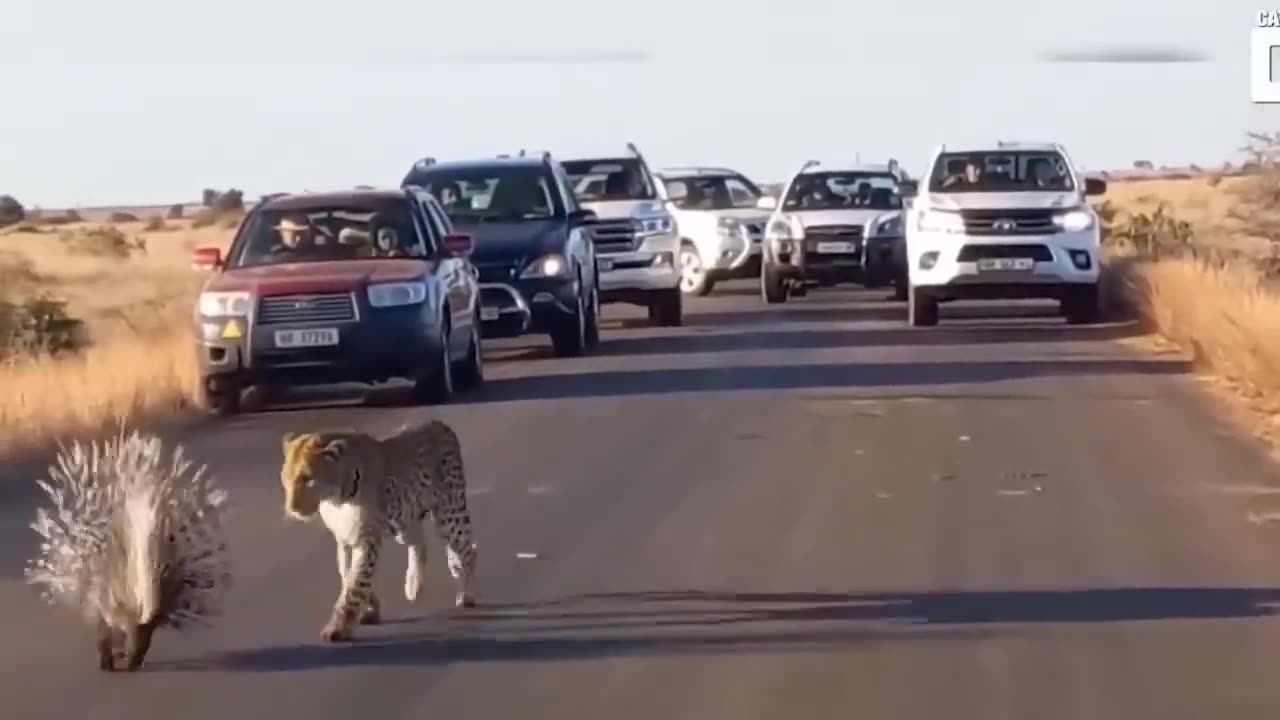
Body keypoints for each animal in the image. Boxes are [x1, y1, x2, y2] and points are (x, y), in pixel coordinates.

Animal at [281, 415, 481, 638]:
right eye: (286, 478)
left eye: (308, 479)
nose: (291, 508)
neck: (336, 498)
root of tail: (439, 423)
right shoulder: (344, 540)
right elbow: (348, 574)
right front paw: (370, 609)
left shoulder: (367, 538)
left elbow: (356, 583)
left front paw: (338, 627)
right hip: (403, 518)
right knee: (420, 543)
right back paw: (413, 585)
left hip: (448, 513)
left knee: (467, 549)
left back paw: (466, 594)